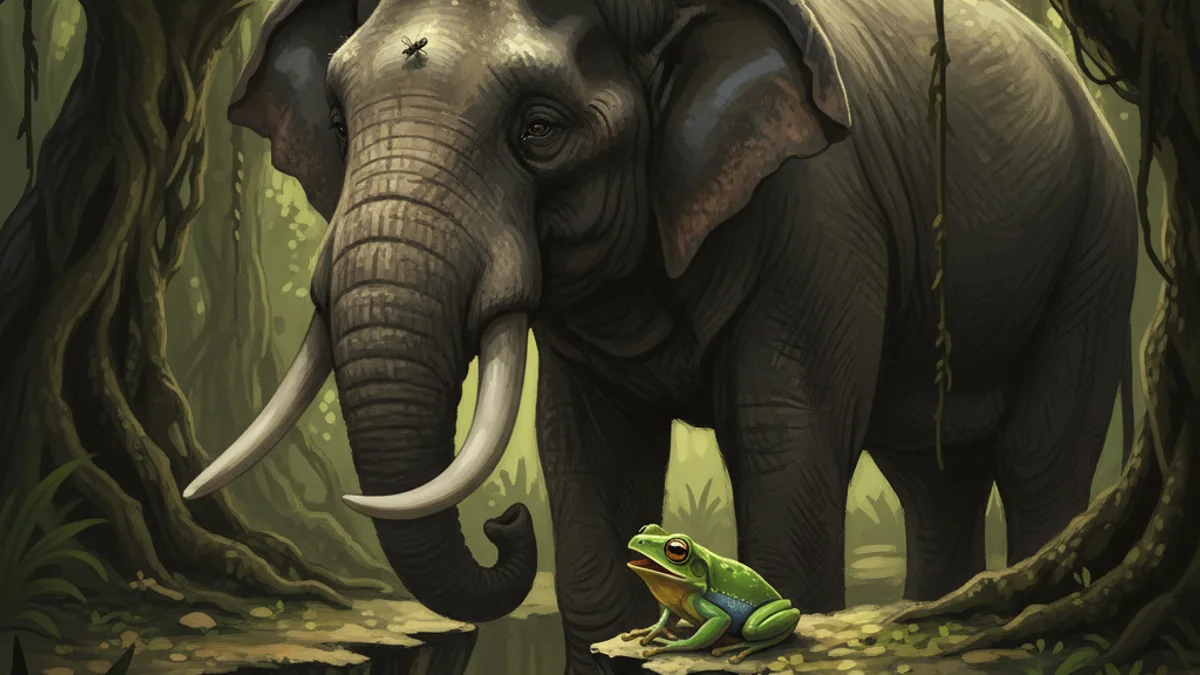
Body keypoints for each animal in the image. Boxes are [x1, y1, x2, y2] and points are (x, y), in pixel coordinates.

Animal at [182, 0, 1138, 671]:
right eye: (339, 127)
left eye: (539, 129)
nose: (505, 520)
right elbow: (587, 455)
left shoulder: (824, 212)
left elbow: (784, 442)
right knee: (934, 479)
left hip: (1095, 243)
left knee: (1040, 459)